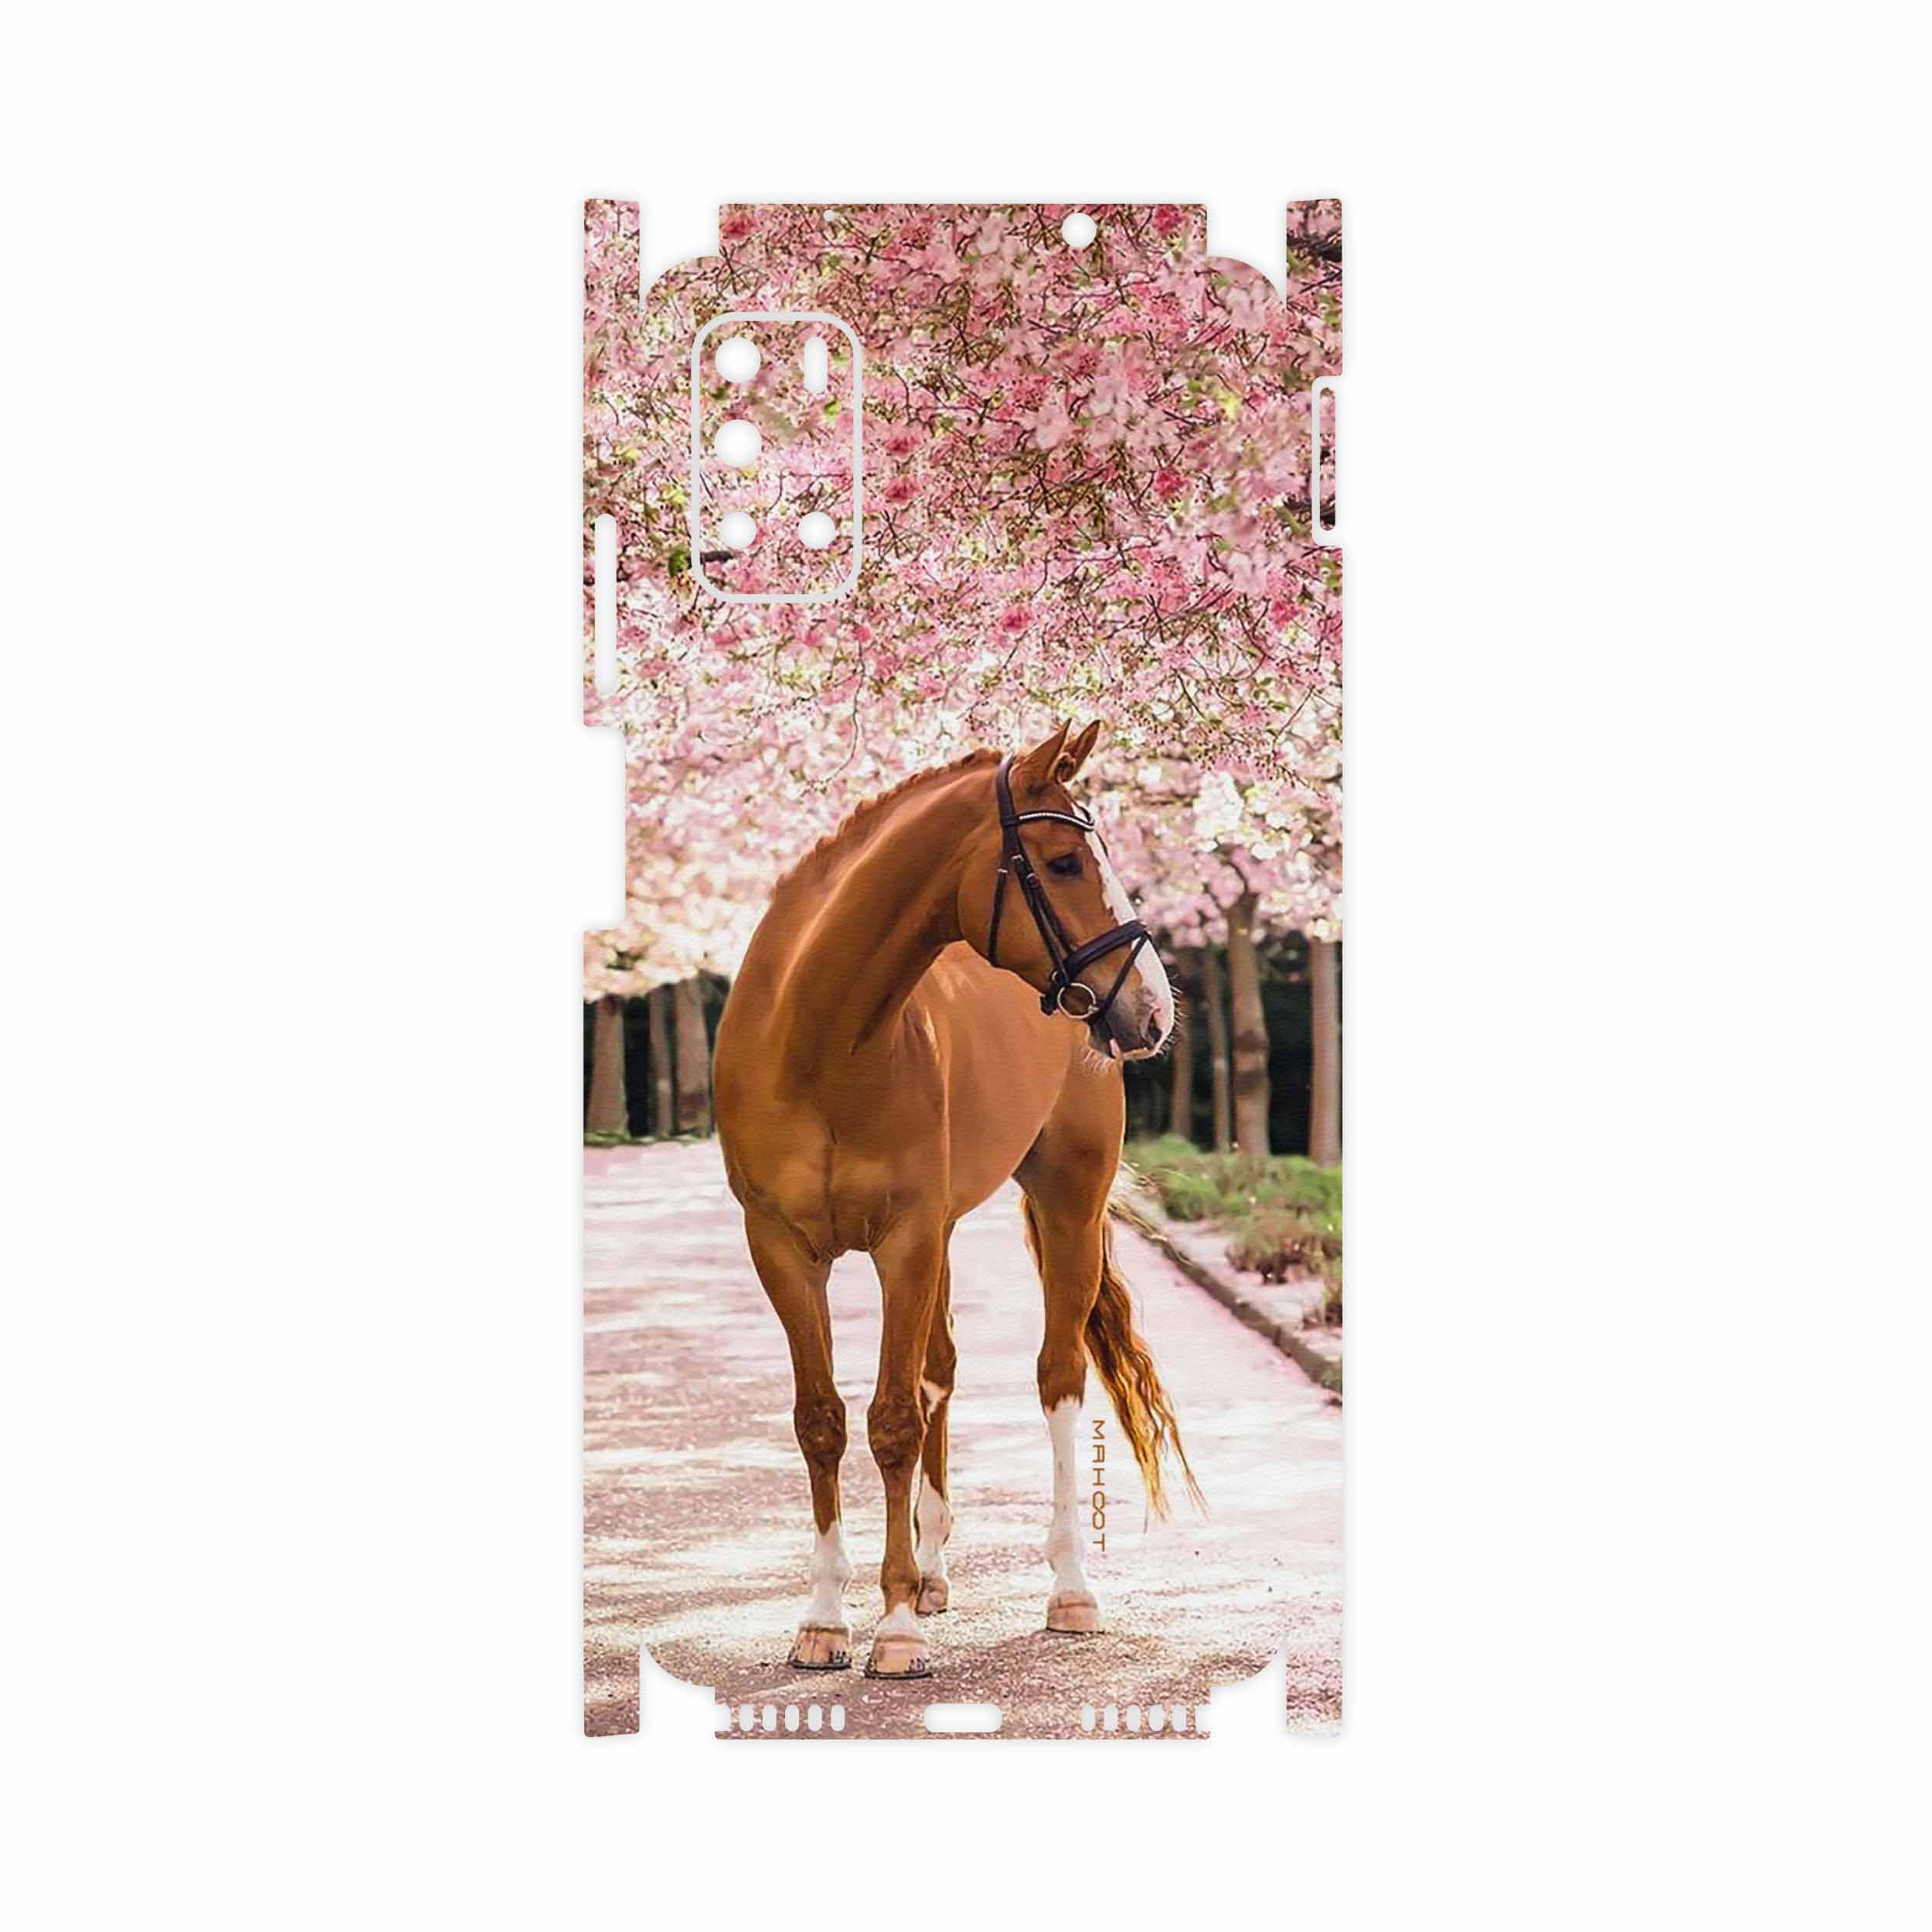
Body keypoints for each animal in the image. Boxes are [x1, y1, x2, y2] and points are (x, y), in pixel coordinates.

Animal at [713, 720, 1196, 1679]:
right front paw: (825, 1619)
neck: (818, 1040)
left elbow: (893, 1420)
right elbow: (822, 1420)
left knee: (1056, 1377)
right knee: (940, 1370)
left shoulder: (903, 1239)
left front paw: (894, 1629)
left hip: (1066, 1204)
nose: (1153, 1009)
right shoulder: (782, 1248)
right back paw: (933, 1572)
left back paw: (1067, 1590)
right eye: (1062, 862)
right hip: (939, 1234)